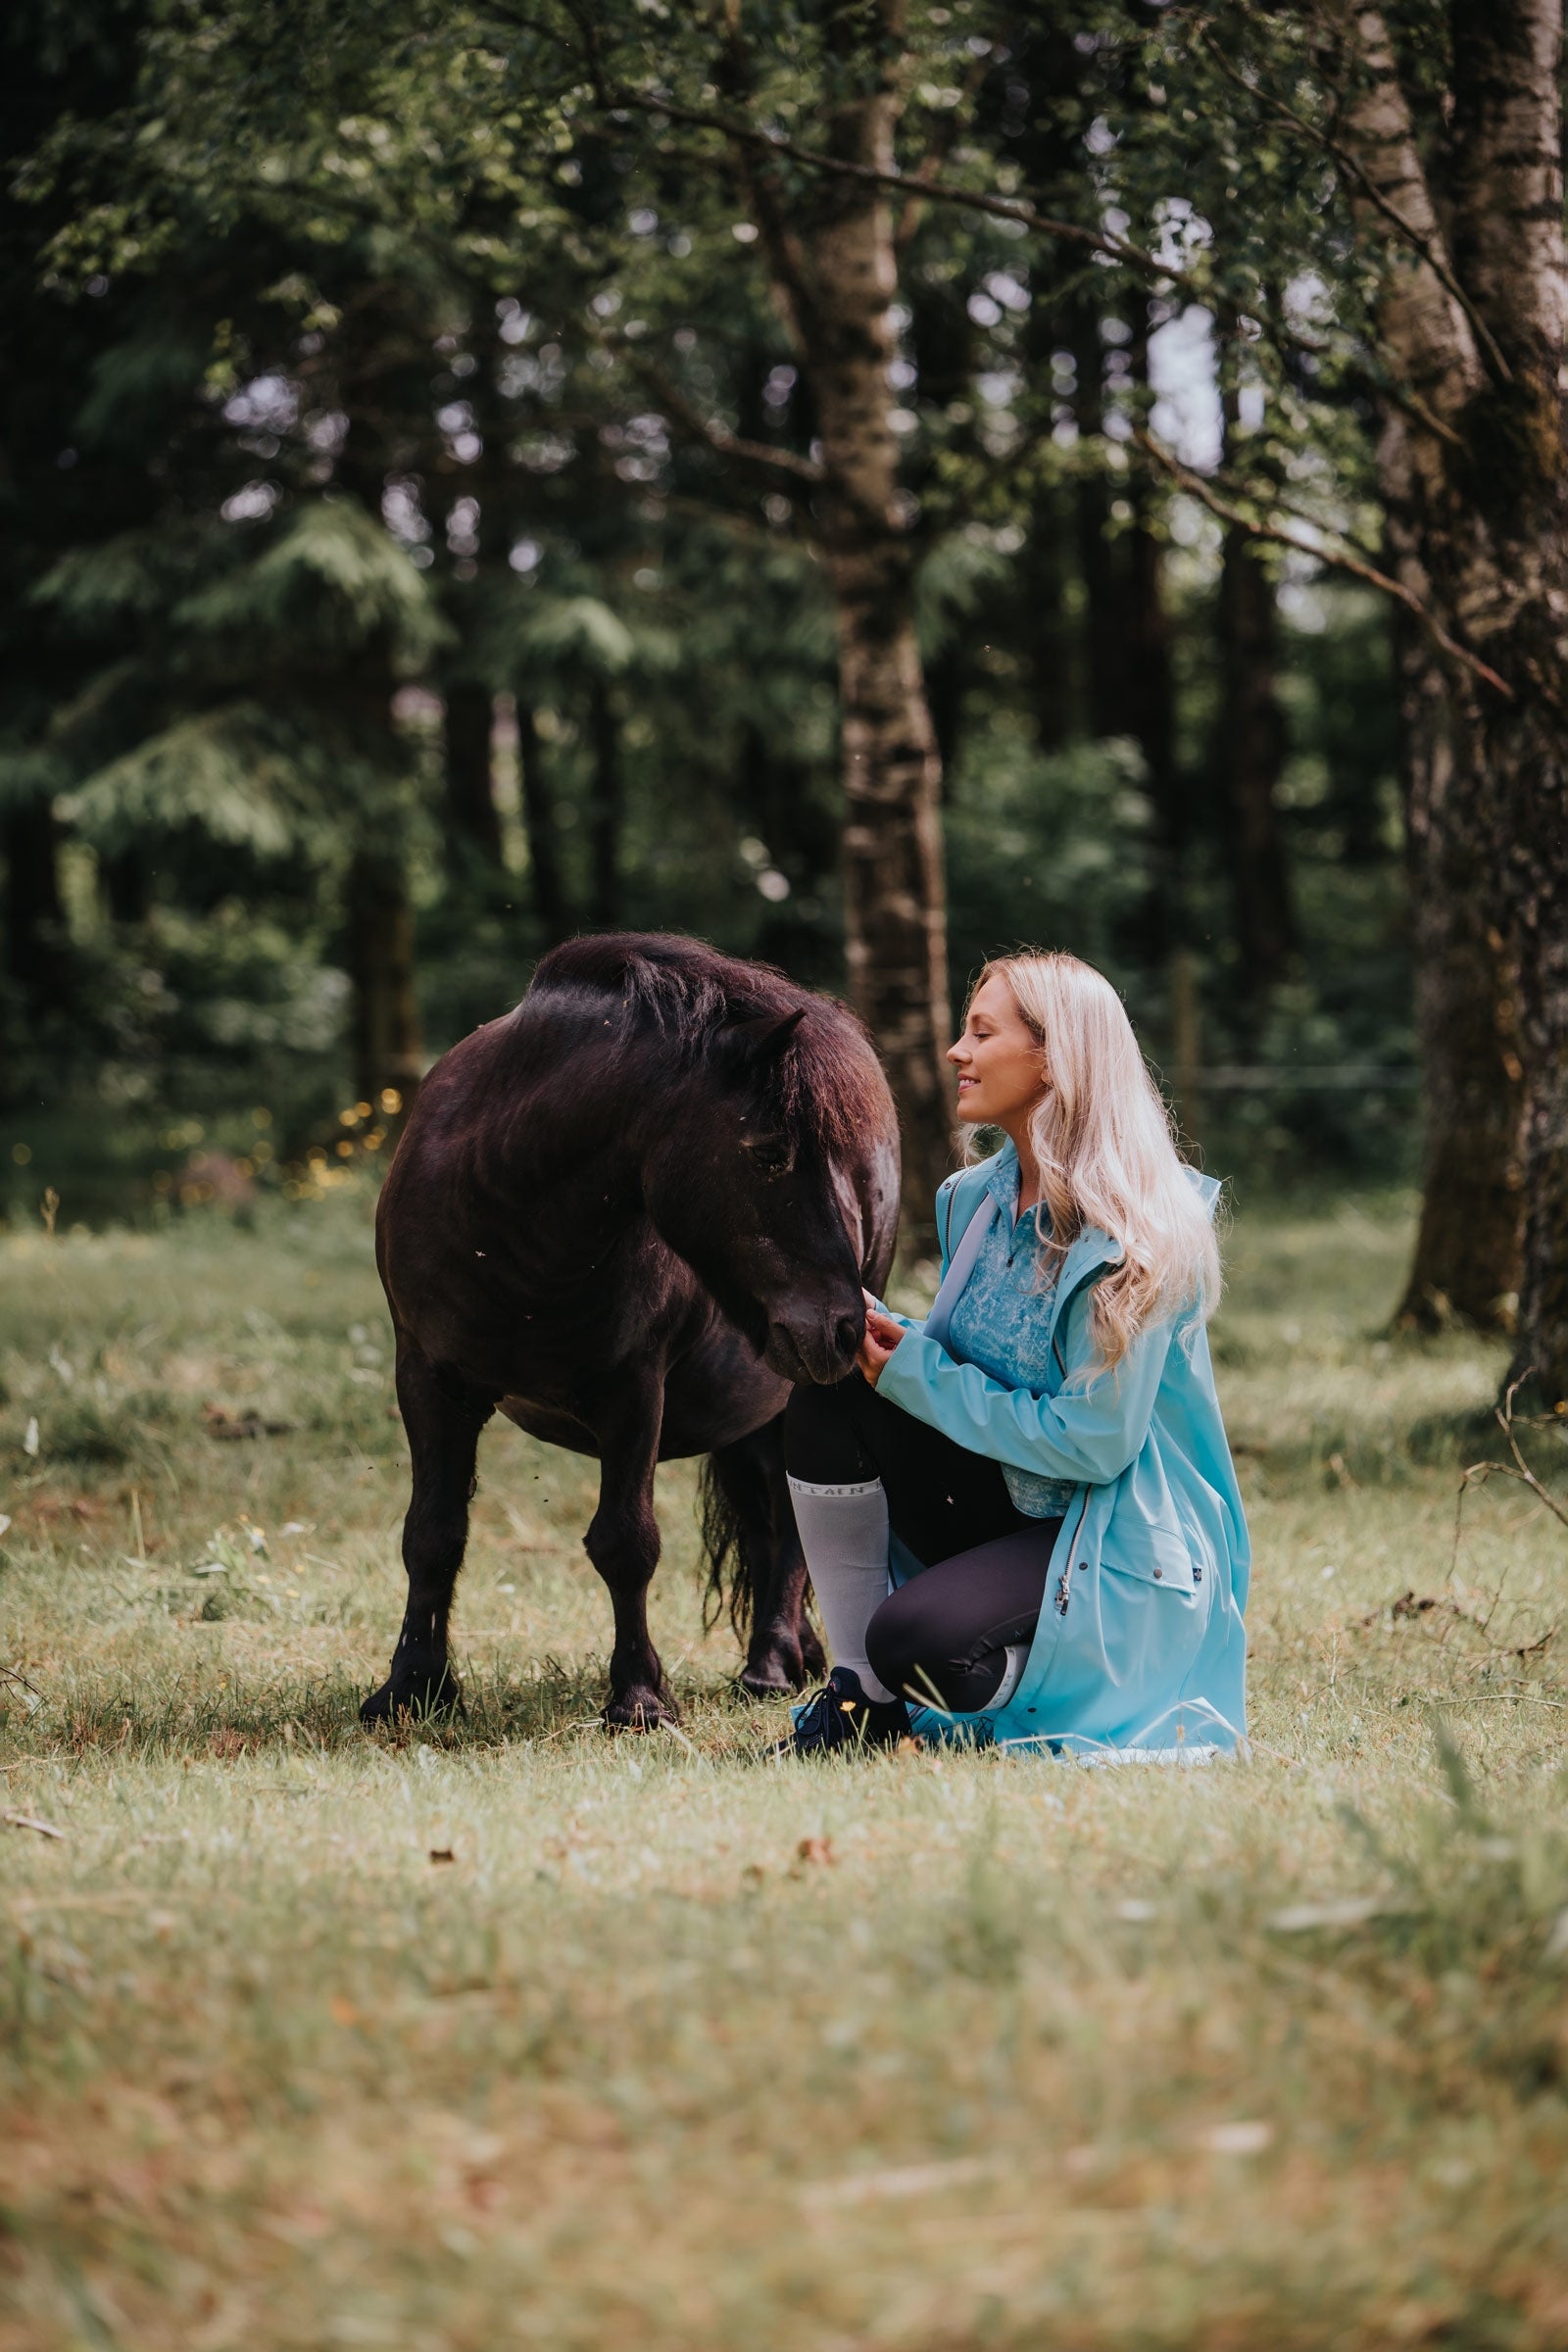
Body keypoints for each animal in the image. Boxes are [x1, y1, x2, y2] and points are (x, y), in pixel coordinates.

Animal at [361, 933, 902, 1728]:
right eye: (769, 1151)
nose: (843, 1327)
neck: (508, 1216)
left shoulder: (633, 1392)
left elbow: (626, 1543)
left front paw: (640, 1697)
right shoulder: (428, 1381)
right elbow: (431, 1534)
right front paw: (411, 1687)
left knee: (792, 1522)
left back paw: (770, 1664)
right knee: (769, 1516)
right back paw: (792, 1652)